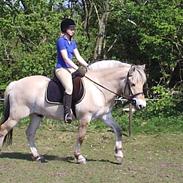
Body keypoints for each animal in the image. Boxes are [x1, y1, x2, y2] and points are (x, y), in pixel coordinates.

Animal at [0, 60, 147, 164]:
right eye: (133, 84)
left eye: (143, 83)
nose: (141, 105)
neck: (98, 88)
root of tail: (15, 84)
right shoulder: (85, 118)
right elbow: (81, 137)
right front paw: (79, 157)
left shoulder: (105, 116)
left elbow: (118, 130)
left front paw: (119, 155)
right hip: (16, 116)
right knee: (3, 129)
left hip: (36, 115)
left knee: (30, 133)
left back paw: (38, 157)